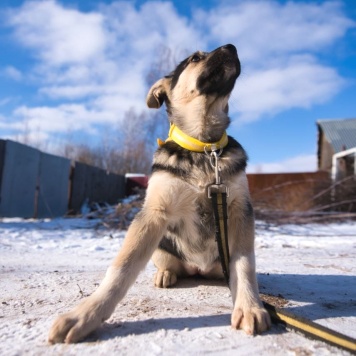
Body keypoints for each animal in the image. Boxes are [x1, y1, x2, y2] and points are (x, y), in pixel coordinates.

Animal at [47, 43, 270, 344]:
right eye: (195, 58)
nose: (232, 47)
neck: (204, 147)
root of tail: (198, 269)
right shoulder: (154, 214)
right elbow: (122, 267)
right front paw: (86, 314)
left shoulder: (239, 211)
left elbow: (244, 263)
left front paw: (249, 306)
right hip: (161, 247)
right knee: (167, 265)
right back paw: (165, 275)